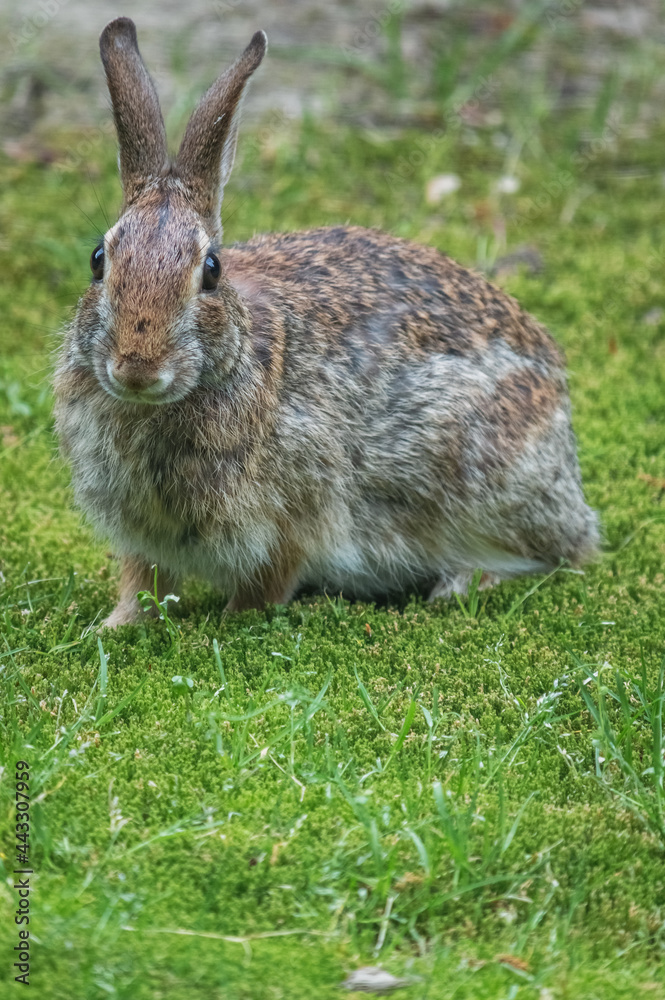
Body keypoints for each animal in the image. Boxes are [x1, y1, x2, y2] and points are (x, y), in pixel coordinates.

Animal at [54, 17, 599, 627]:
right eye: (98, 260)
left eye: (211, 270)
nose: (137, 369)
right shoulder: (143, 536)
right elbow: (142, 581)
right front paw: (116, 627)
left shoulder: (291, 517)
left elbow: (268, 581)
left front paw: (230, 621)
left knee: (550, 553)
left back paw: (463, 581)